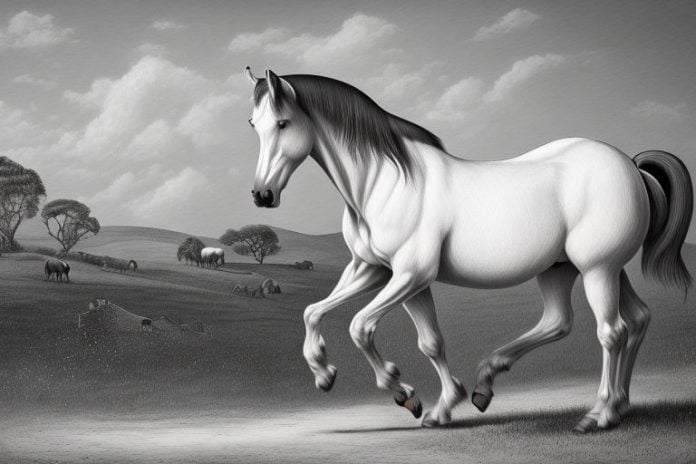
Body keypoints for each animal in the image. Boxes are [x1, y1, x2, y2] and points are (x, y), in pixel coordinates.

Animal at [243, 67, 693, 432]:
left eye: (283, 123)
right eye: (253, 123)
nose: (262, 195)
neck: (385, 183)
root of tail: (629, 165)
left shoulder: (409, 275)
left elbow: (360, 326)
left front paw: (402, 392)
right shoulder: (377, 271)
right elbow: (330, 317)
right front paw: (333, 377)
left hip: (598, 268)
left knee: (611, 332)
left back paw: (597, 415)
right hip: (573, 268)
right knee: (599, 320)